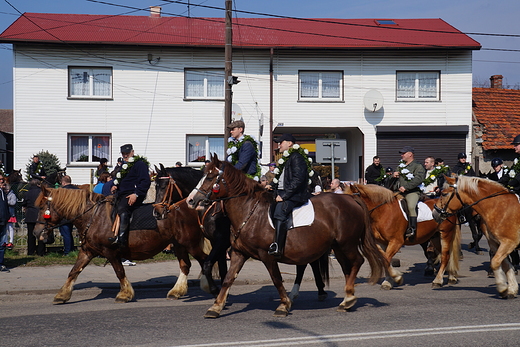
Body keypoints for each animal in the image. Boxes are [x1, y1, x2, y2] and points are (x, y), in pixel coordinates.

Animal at [33, 188, 211, 304]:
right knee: (185, 265)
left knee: (205, 261)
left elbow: (119, 272)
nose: (36, 232)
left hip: (190, 244)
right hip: (179, 245)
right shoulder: (87, 251)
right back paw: (177, 291)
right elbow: (74, 271)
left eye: (42, 208)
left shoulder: (110, 251)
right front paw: (62, 294)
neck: (94, 216)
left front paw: (125, 294)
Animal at [188, 156, 390, 320]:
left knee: (357, 261)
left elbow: (276, 278)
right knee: (347, 267)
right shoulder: (239, 253)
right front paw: (215, 307)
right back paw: (347, 298)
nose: (191, 200)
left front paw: (284, 305)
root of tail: (351, 198)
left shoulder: (266, 255)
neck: (249, 212)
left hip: (346, 244)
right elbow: (228, 279)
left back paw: (347, 298)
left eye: (211, 177)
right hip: (338, 247)